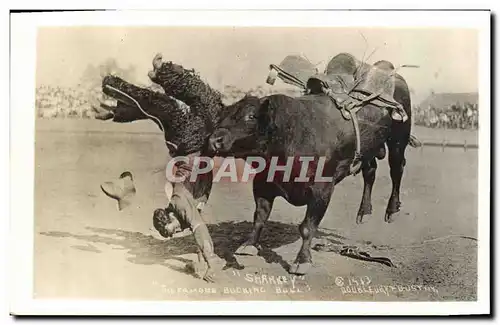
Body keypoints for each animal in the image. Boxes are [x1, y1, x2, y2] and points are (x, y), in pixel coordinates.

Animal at [207, 76, 414, 274]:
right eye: (221, 116)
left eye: (250, 116)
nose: (215, 140)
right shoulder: (262, 183)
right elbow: (259, 216)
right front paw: (249, 244)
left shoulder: (322, 189)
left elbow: (307, 227)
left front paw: (302, 261)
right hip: (367, 149)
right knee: (370, 171)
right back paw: (364, 212)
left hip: (398, 140)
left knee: (397, 169)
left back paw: (391, 210)